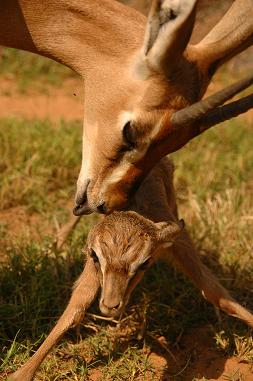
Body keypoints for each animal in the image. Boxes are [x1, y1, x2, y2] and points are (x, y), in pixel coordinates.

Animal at [8, 157, 253, 380]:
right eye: (94, 256)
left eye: (144, 263)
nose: (110, 305)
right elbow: (76, 305)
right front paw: (21, 373)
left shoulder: (178, 244)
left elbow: (215, 293)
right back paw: (56, 244)